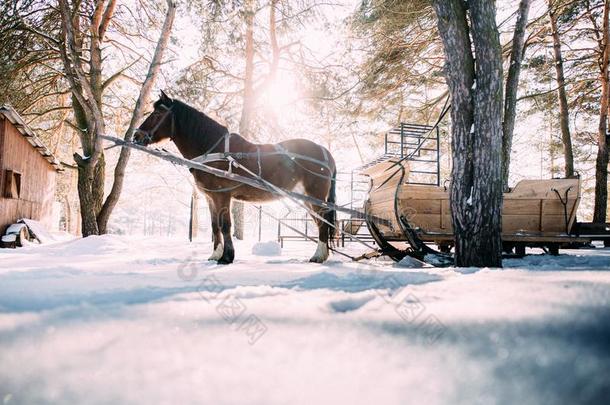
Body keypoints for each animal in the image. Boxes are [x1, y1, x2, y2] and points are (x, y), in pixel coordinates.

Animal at [132, 90, 338, 264]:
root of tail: (324, 152)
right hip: (307, 199)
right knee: (321, 222)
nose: (136, 136)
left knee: (323, 222)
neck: (213, 149)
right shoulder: (210, 197)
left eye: (157, 114)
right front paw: (216, 255)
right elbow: (215, 226)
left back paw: (318, 256)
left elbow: (225, 225)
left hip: (315, 196)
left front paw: (227, 257)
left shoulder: (223, 195)